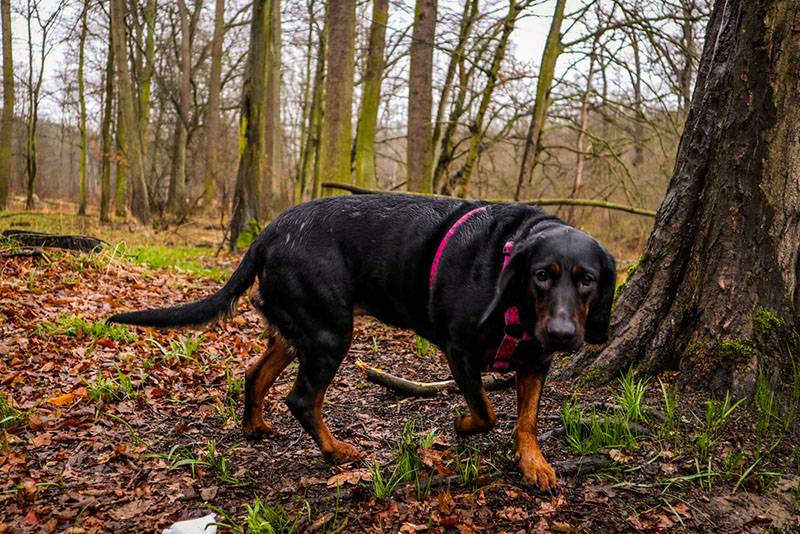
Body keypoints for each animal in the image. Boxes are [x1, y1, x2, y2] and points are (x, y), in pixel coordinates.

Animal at [108, 195, 612, 492]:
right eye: (541, 275)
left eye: (587, 280)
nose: (564, 335)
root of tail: (269, 232)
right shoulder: (459, 353)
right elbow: (486, 412)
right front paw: (463, 424)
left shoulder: (537, 362)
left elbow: (527, 421)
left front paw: (534, 463)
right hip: (330, 332)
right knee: (302, 398)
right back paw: (336, 451)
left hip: (298, 331)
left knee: (255, 372)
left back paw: (255, 425)